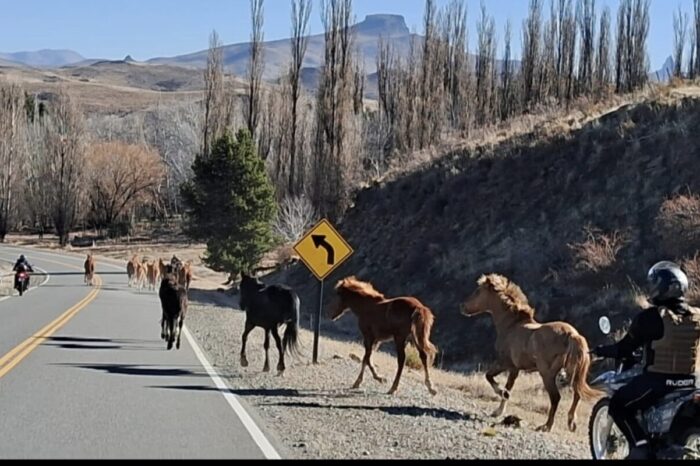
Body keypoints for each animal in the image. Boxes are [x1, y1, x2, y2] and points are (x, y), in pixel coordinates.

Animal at [460, 274, 602, 433]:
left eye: (478, 291)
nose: (462, 306)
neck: (511, 326)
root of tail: (572, 334)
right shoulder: (515, 369)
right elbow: (508, 385)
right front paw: (498, 411)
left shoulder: (505, 363)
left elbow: (490, 377)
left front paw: (501, 395)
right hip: (571, 372)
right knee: (576, 394)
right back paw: (571, 423)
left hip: (547, 374)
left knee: (556, 397)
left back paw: (546, 426)